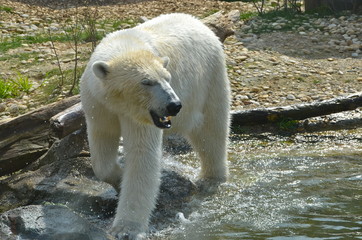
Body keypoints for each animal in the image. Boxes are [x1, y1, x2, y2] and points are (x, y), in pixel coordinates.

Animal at [80, 13, 230, 240]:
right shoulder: (98, 105)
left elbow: (142, 154)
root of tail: (197, 21)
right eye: (147, 82)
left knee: (212, 129)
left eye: (167, 78)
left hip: (210, 77)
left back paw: (211, 178)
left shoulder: (141, 116)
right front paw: (119, 177)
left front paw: (126, 228)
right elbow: (102, 145)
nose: (174, 105)